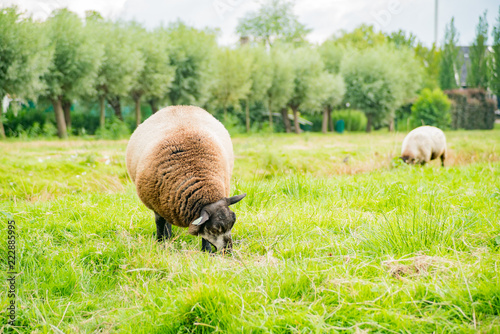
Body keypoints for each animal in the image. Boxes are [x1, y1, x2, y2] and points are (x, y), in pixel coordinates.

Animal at [127, 106, 246, 253]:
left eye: (233, 222)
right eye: (214, 229)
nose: (228, 251)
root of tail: (178, 106)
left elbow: (202, 234)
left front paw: (206, 251)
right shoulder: (156, 204)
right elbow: (160, 224)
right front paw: (161, 243)